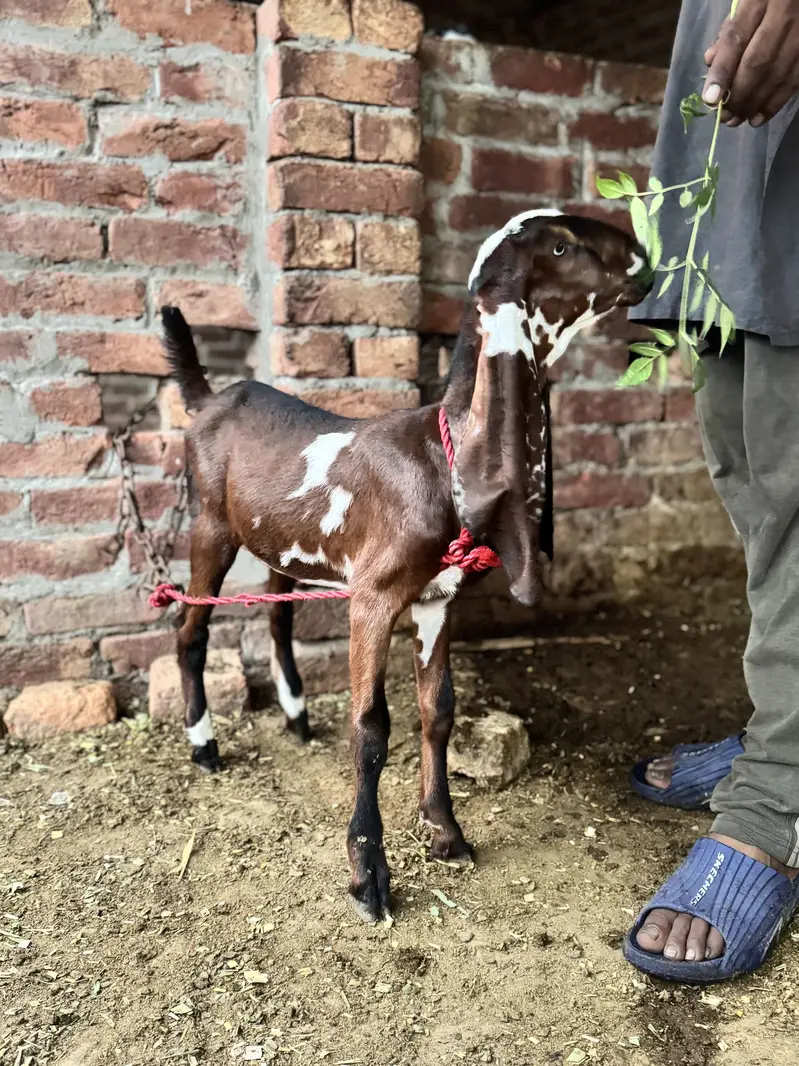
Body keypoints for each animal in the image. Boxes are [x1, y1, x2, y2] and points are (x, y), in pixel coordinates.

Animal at [159, 209, 651, 922]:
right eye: (560, 247)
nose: (643, 261)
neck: (442, 457)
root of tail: (207, 399)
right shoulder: (375, 597)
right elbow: (371, 728)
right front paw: (369, 875)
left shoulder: (436, 600)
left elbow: (438, 708)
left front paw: (445, 830)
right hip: (211, 526)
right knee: (191, 629)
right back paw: (204, 745)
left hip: (284, 545)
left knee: (277, 618)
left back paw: (296, 717)